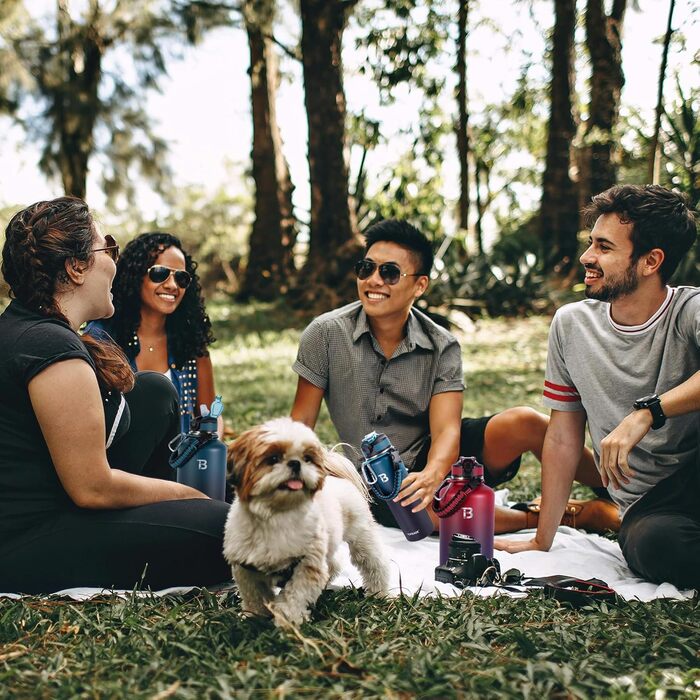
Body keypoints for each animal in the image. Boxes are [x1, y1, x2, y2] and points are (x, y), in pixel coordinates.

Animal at [223, 418, 388, 628]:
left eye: (307, 458)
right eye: (273, 458)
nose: (295, 463)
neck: (277, 515)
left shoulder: (307, 565)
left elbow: (294, 596)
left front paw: (287, 620)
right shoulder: (246, 568)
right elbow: (254, 596)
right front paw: (253, 617)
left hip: (361, 537)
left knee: (374, 564)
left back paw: (380, 593)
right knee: (333, 565)